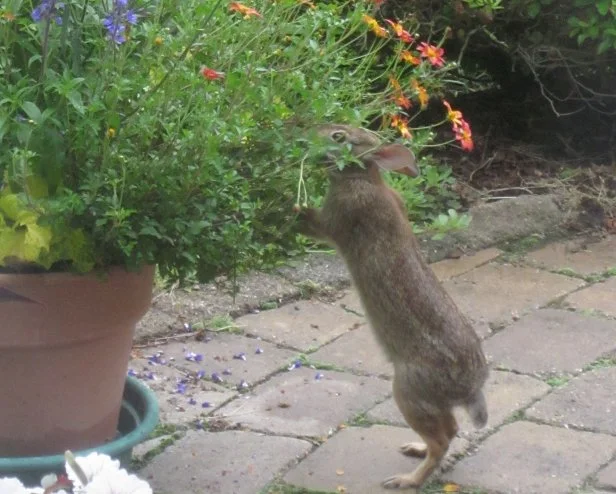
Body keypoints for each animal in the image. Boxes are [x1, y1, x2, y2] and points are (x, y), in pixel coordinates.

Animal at [296, 124, 488, 490]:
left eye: (339, 137)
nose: (307, 134)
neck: (363, 176)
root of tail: (470, 389)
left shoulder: (340, 217)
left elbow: (316, 225)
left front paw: (293, 207)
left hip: (409, 390)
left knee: (441, 441)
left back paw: (405, 480)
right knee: (450, 431)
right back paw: (414, 450)